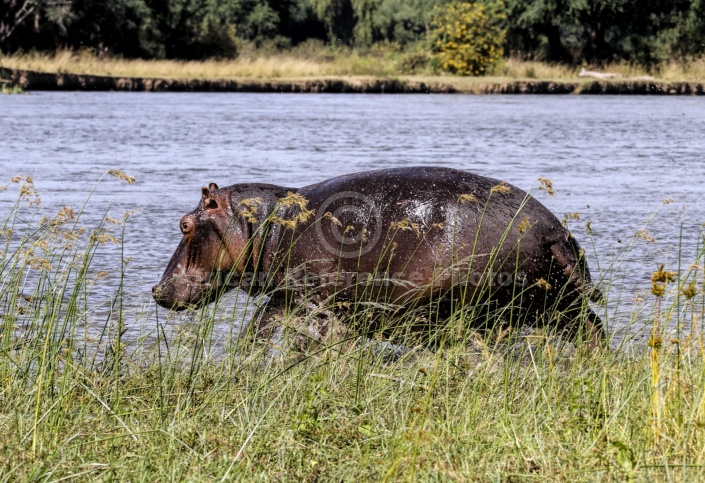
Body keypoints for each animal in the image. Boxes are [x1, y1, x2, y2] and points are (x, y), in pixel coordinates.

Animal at [151, 168, 604, 346]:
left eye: (184, 225)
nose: (156, 289)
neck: (264, 224)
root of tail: (554, 230)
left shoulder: (303, 296)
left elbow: (263, 331)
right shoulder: (298, 300)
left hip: (491, 304)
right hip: (556, 299)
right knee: (592, 328)